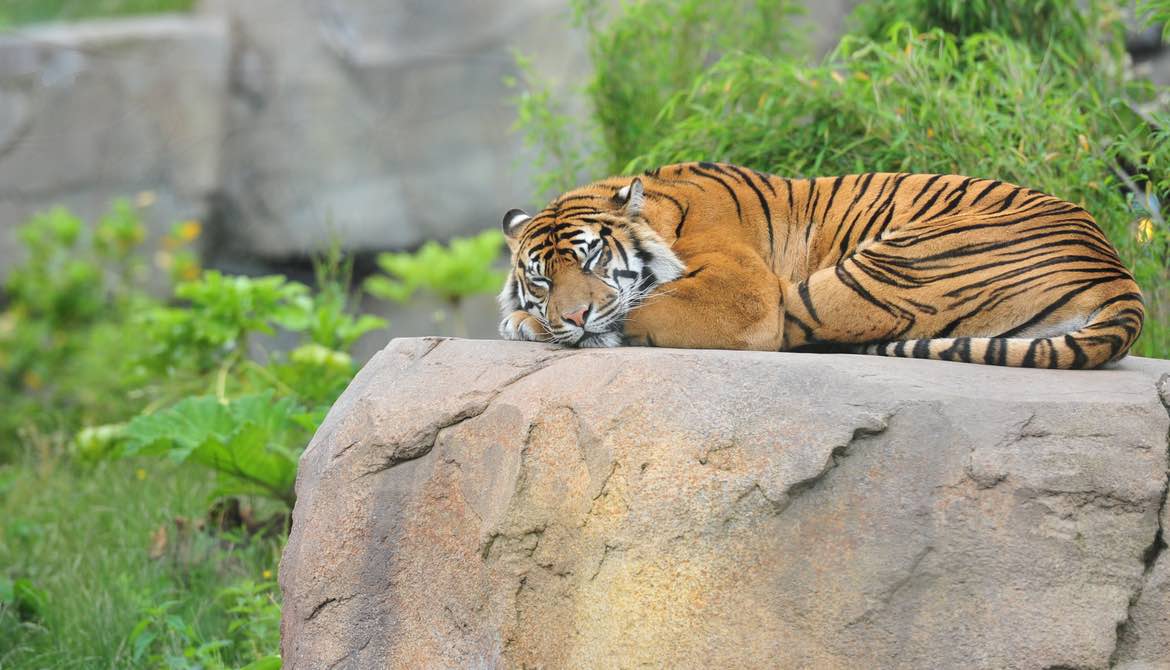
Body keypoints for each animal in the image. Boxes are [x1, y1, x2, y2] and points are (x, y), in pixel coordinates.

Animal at [498, 163, 1146, 369]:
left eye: (592, 256)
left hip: (869, 274)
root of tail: (1118, 271)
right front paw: (533, 320)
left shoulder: (746, 295)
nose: (574, 317)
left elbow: (637, 309)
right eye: (541, 277)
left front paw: (526, 324)